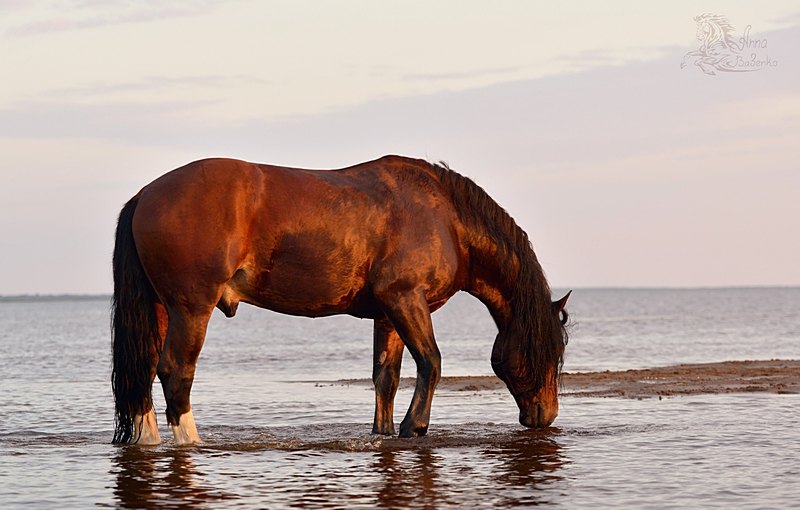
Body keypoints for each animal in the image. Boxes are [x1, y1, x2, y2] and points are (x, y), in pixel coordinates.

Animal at [111, 155, 570, 445]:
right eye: (548, 351)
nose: (545, 416)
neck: (446, 217)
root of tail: (145, 195)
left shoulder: (388, 314)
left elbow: (386, 377)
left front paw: (384, 432)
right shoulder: (406, 299)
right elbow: (431, 362)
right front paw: (415, 427)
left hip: (162, 309)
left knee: (145, 370)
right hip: (191, 309)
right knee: (175, 372)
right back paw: (192, 441)